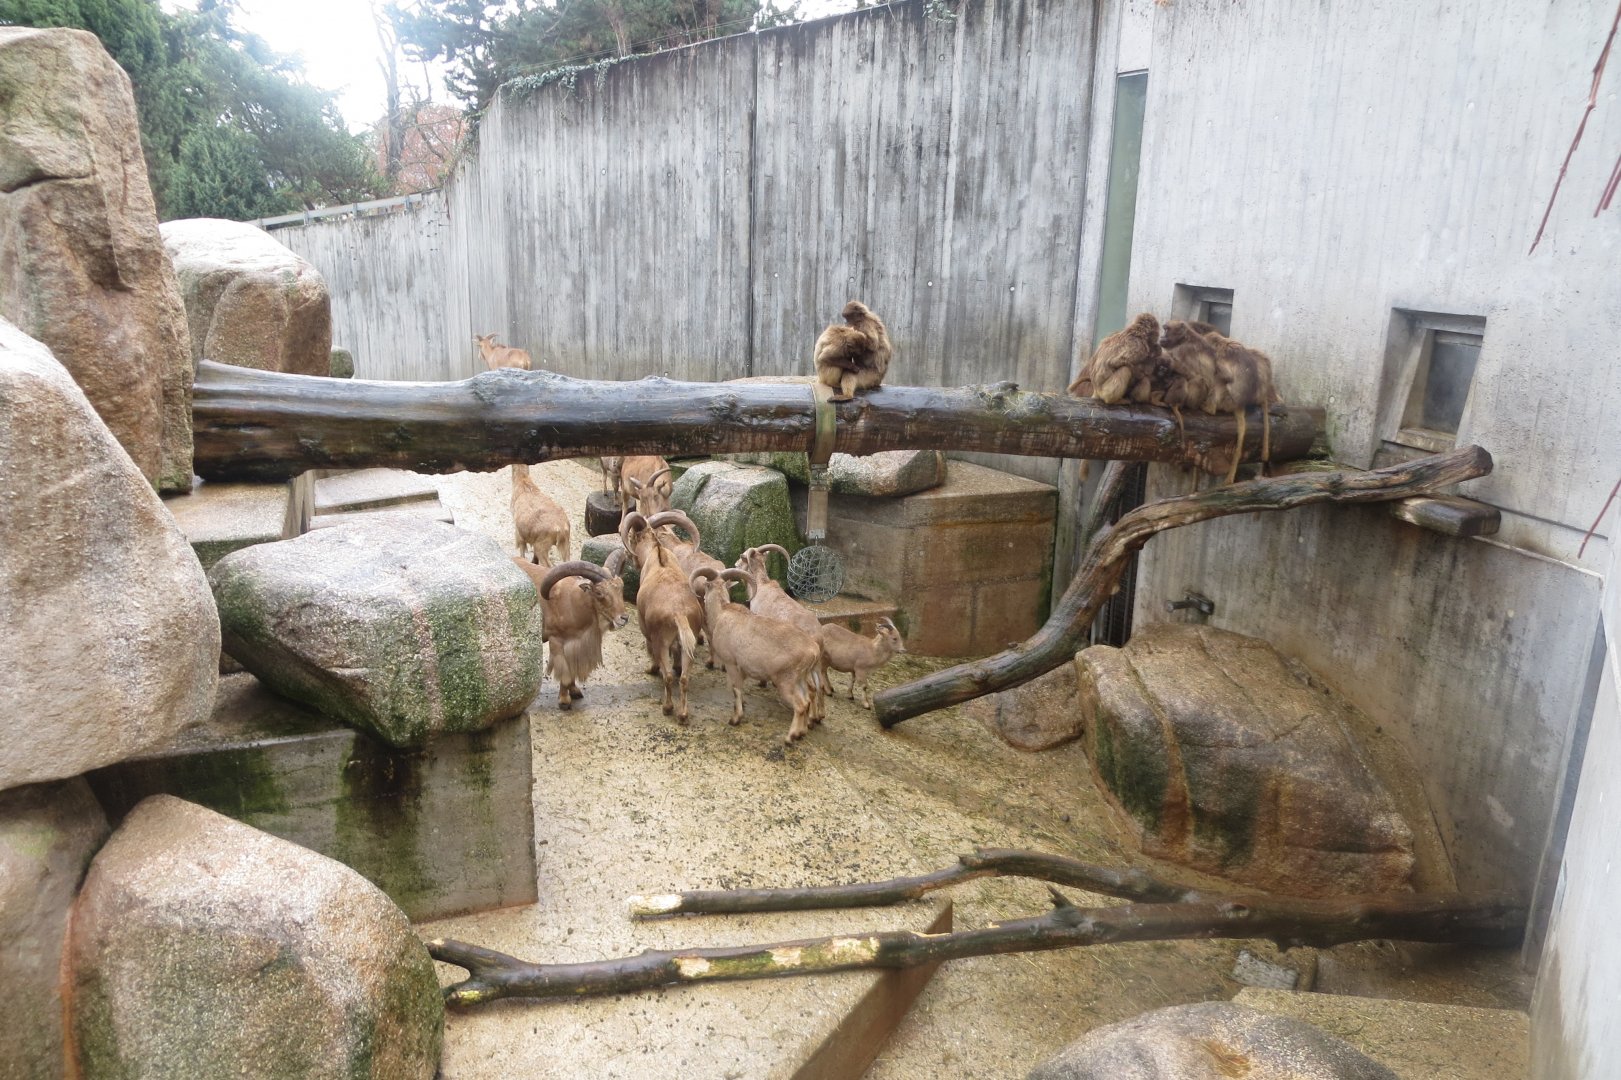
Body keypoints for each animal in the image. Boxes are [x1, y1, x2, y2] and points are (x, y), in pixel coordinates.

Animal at [510, 553, 628, 710]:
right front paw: (564, 701)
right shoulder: (556, 640)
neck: (572, 604)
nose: (624, 618)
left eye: (621, 587)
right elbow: (564, 673)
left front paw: (575, 690)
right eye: (598, 592)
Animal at [620, 511, 703, 723]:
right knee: (683, 678)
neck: (657, 554)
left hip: (661, 640)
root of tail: (679, 612)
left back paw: (667, 707)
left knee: (668, 677)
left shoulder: (648, 632)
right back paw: (683, 714)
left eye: (631, 538)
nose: (630, 556)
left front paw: (651, 669)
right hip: (689, 640)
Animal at [690, 567, 822, 743]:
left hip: (786, 681)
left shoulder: (731, 663)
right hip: (800, 679)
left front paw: (735, 719)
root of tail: (814, 650)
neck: (722, 612)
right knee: (807, 701)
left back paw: (790, 737)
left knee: (800, 705)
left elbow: (736, 689)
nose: (702, 597)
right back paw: (801, 733)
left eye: (706, 586)